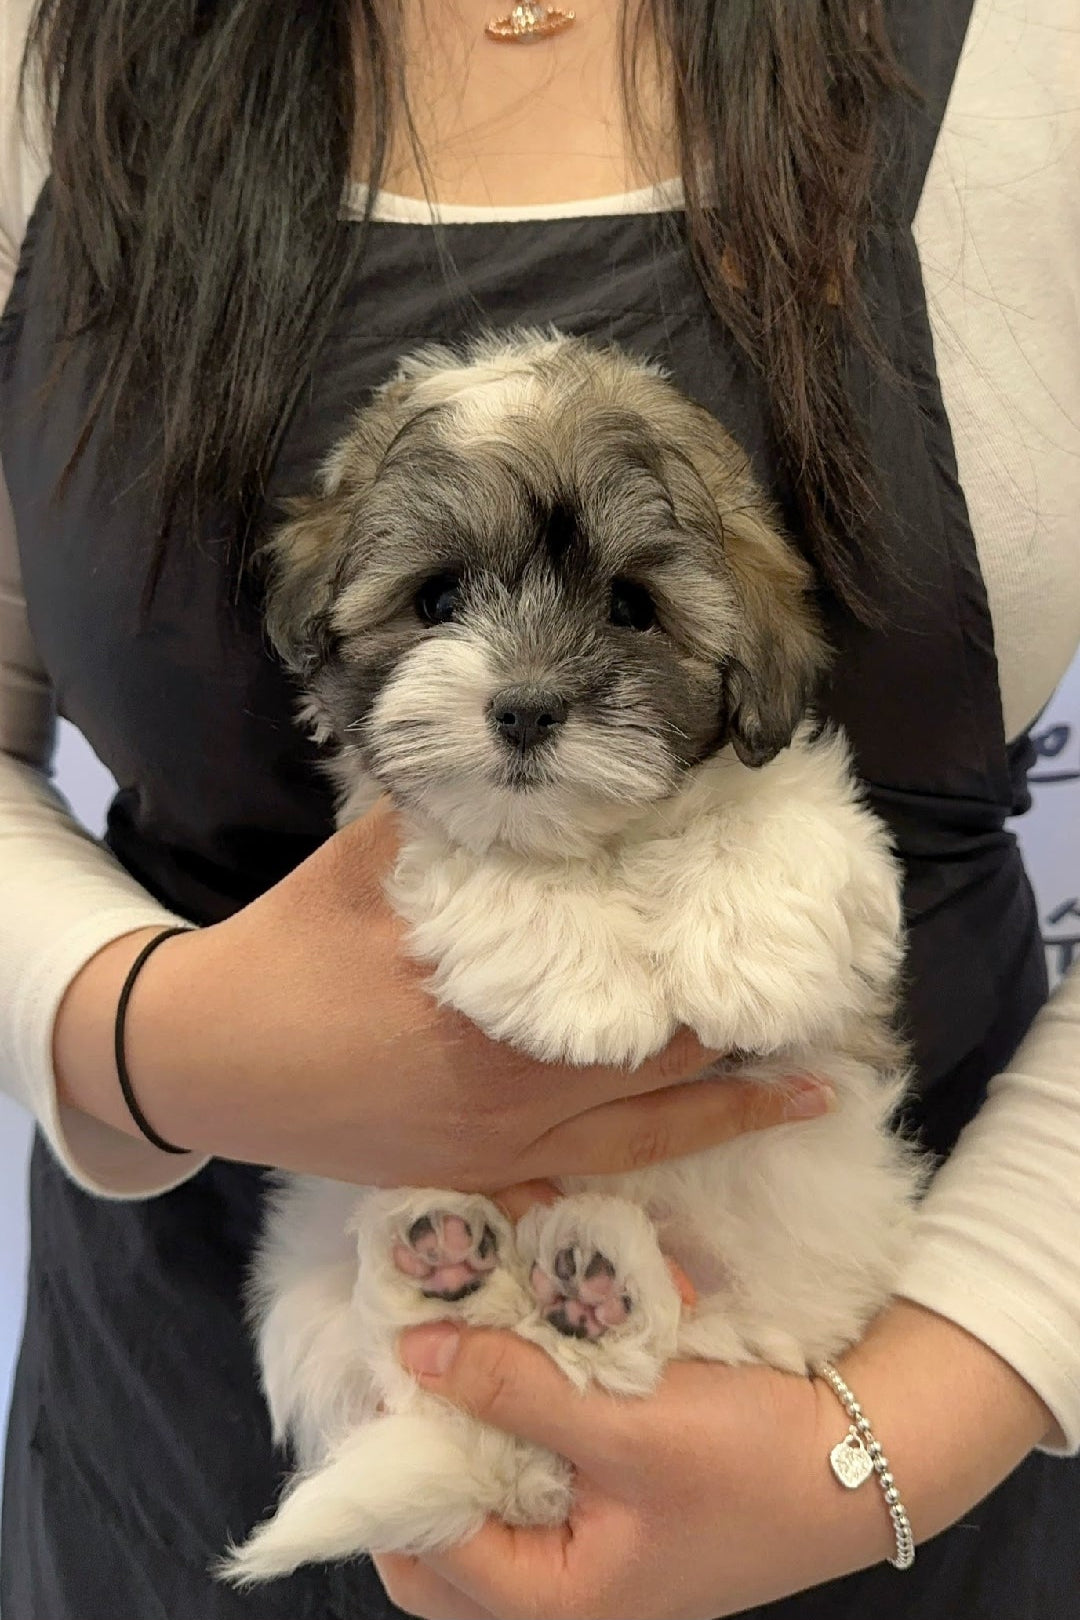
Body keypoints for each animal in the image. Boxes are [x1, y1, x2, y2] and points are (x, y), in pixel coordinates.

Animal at [223, 325, 926, 1581]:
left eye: (633, 608)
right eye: (438, 596)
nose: (525, 706)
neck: (600, 843)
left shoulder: (804, 796)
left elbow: (789, 818)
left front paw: (748, 958)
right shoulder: (410, 826)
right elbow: (470, 844)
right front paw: (586, 988)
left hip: (777, 1295)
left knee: (638, 1367)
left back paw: (594, 1284)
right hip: (312, 1275)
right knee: (422, 1363)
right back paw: (445, 1262)